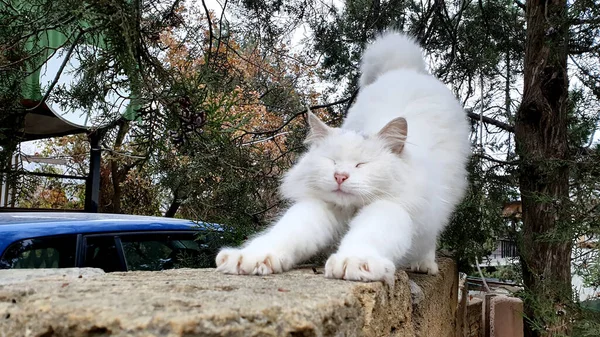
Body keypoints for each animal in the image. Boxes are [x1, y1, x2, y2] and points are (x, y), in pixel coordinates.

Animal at [213, 31, 472, 284]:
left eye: (361, 165)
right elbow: (286, 233)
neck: (350, 209)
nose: (340, 176)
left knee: (431, 232)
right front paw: (249, 258)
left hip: (440, 198)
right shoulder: (318, 207)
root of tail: (404, 70)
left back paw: (425, 264)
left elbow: (368, 236)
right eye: (332, 161)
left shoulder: (390, 207)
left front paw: (355, 262)